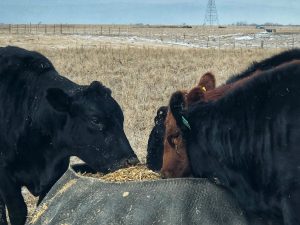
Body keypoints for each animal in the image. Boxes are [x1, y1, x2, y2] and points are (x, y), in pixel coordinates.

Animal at [0, 46, 139, 225]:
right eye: (95, 120)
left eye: (121, 119)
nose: (131, 161)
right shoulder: (5, 176)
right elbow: (18, 211)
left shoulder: (55, 174)